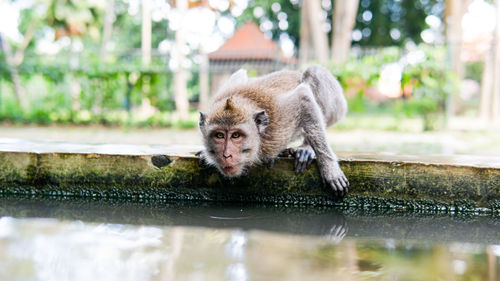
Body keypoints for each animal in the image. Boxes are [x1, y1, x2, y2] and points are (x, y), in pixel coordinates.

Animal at [197, 65, 350, 197]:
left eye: (236, 135)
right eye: (219, 135)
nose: (226, 155)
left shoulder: (280, 118)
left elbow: (303, 97)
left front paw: (330, 167)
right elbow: (240, 74)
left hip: (339, 107)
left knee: (313, 72)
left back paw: (306, 148)